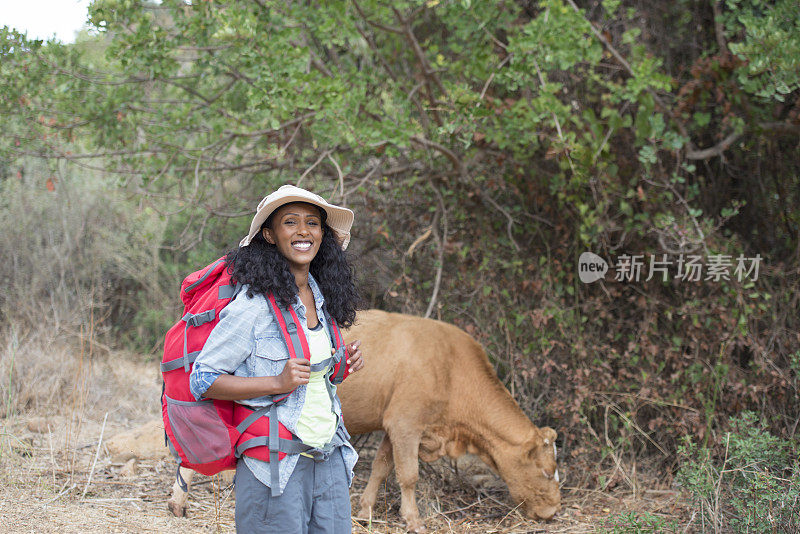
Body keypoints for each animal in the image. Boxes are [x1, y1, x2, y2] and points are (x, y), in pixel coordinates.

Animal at [166, 310, 560, 532]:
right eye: (545, 472)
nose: (554, 512)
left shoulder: (391, 424)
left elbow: (383, 468)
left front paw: (367, 511)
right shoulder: (406, 422)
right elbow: (409, 475)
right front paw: (414, 521)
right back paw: (178, 502)